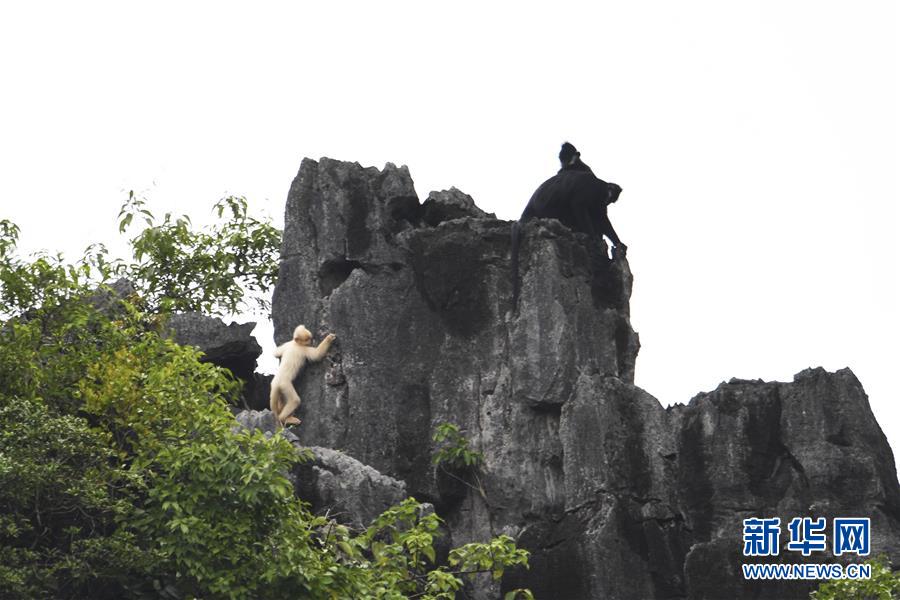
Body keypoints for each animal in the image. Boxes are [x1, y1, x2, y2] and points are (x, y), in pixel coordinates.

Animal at [510, 143, 628, 308]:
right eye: (610, 197)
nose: (608, 200)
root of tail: (525, 214)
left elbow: (602, 219)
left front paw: (618, 243)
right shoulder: (592, 189)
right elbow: (580, 205)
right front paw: (594, 238)